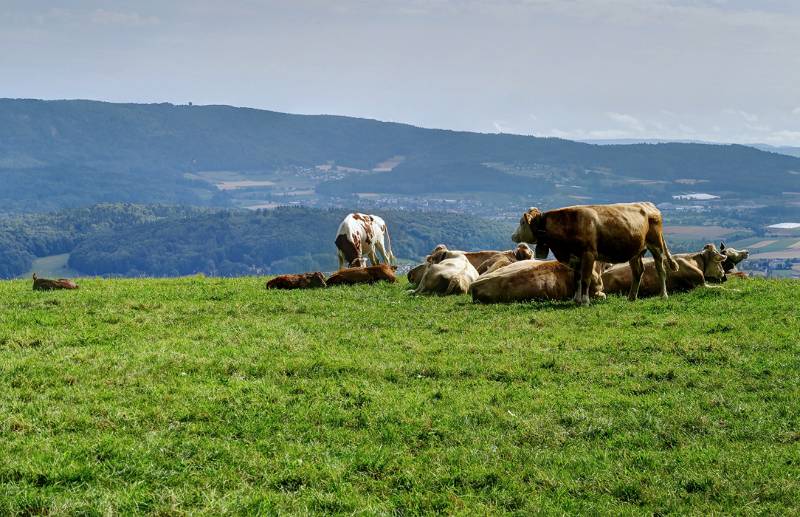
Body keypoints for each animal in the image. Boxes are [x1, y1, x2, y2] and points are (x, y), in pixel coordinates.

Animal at [512, 202, 680, 304]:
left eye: (522, 222)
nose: (513, 236)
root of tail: (649, 205)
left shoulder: (588, 254)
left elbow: (585, 279)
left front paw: (585, 301)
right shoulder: (576, 258)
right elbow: (577, 279)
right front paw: (576, 299)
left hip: (656, 245)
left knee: (661, 269)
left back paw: (663, 295)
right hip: (635, 251)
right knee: (638, 271)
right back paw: (631, 297)